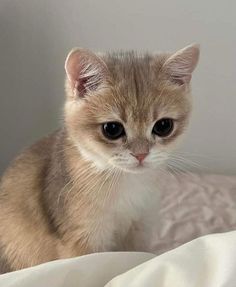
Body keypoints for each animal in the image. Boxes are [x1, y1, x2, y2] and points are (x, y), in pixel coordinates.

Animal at [0, 44, 199, 274]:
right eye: (112, 129)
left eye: (163, 126)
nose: (140, 154)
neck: (126, 184)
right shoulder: (84, 240)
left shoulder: (140, 228)